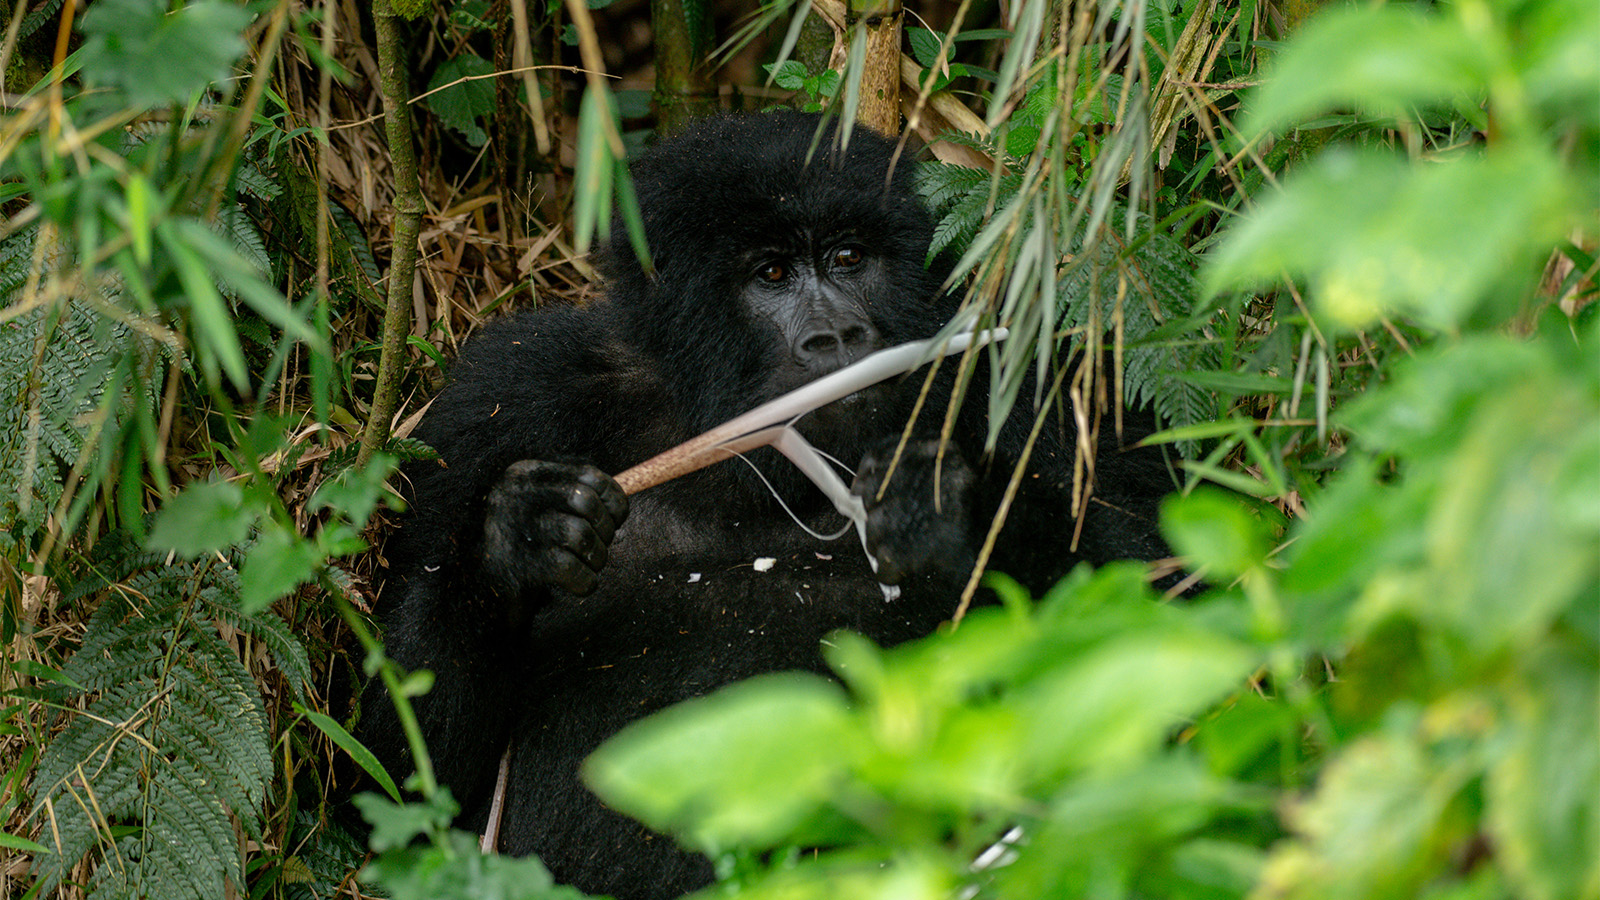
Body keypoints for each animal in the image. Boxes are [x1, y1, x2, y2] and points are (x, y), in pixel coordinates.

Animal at [363, 110, 1177, 896]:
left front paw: (949, 507)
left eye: (849, 258)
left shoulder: (1027, 362)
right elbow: (401, 780)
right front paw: (520, 540)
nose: (837, 335)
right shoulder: (502, 396)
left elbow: (1149, 584)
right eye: (772, 273)